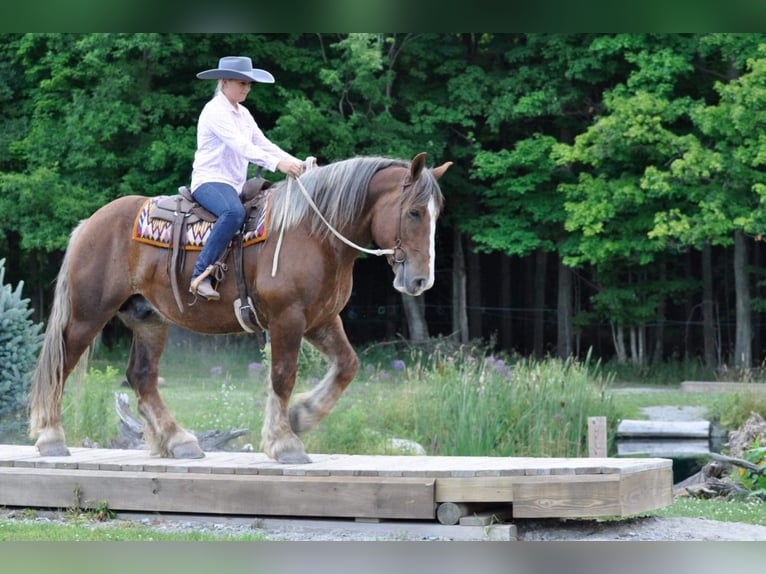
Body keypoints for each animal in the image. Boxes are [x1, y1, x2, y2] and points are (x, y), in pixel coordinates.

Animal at [28, 154, 450, 468]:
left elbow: (347, 366)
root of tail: (90, 223)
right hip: (88, 315)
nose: (420, 280)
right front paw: (284, 442)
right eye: (414, 212)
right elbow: (282, 377)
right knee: (61, 364)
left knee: (142, 377)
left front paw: (302, 416)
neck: (315, 234)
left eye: (435, 214)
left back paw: (179, 441)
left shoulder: (321, 320)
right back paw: (51, 437)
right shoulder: (287, 318)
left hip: (149, 319)